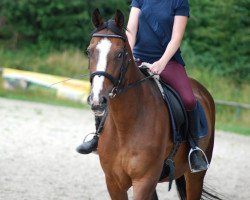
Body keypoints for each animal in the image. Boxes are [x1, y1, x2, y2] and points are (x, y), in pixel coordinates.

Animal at [85, 8, 217, 199]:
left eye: (119, 54)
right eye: (89, 51)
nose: (97, 99)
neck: (126, 126)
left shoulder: (144, 181)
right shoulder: (113, 182)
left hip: (195, 177)